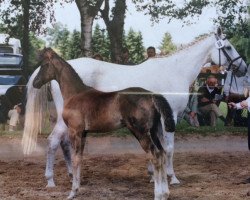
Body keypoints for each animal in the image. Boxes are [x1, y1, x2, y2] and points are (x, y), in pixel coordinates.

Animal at [22, 28, 248, 188]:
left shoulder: (156, 120)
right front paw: (172, 177)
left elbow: (158, 146)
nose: (243, 67)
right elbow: (170, 148)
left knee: (64, 144)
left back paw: (72, 175)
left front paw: (153, 175)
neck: (173, 71)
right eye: (228, 47)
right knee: (53, 142)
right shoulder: (171, 117)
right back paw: (51, 180)